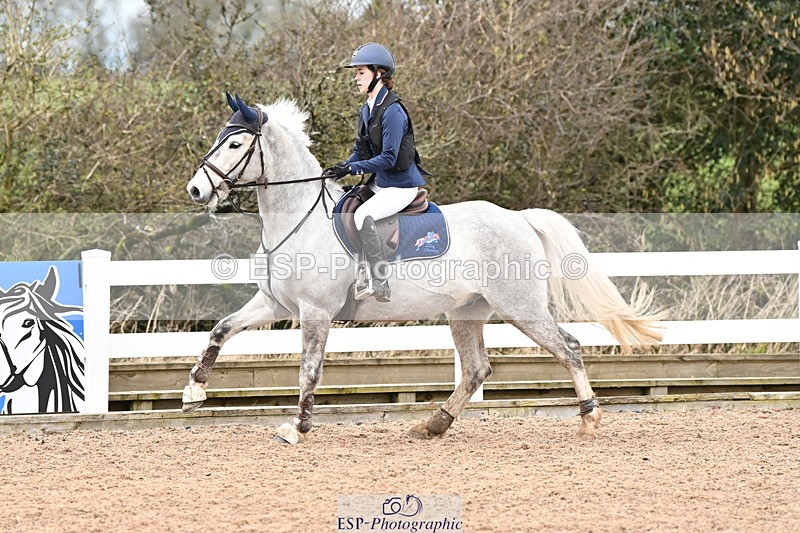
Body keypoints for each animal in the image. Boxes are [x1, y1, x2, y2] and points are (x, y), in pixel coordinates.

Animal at [183, 93, 663, 443]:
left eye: (235, 144)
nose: (196, 189)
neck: (298, 216)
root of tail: (519, 218)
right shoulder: (274, 304)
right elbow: (221, 330)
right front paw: (194, 390)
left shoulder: (315, 313)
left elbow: (309, 370)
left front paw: (297, 428)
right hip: (465, 312)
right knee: (476, 370)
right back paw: (433, 425)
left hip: (521, 307)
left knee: (569, 348)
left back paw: (589, 419)